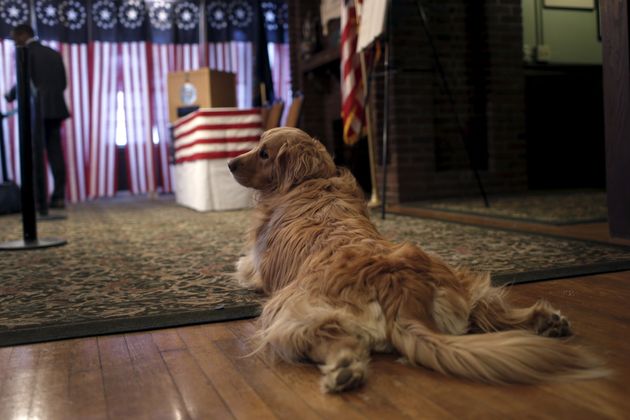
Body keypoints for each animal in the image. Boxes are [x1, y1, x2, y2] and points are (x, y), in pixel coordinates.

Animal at [227, 126, 608, 392]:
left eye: (263, 153)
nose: (229, 163)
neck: (311, 181)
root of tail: (402, 291)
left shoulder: (257, 268)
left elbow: (242, 265)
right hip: (465, 281)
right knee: (490, 311)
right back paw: (546, 321)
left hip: (286, 310)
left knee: (334, 340)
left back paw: (345, 369)